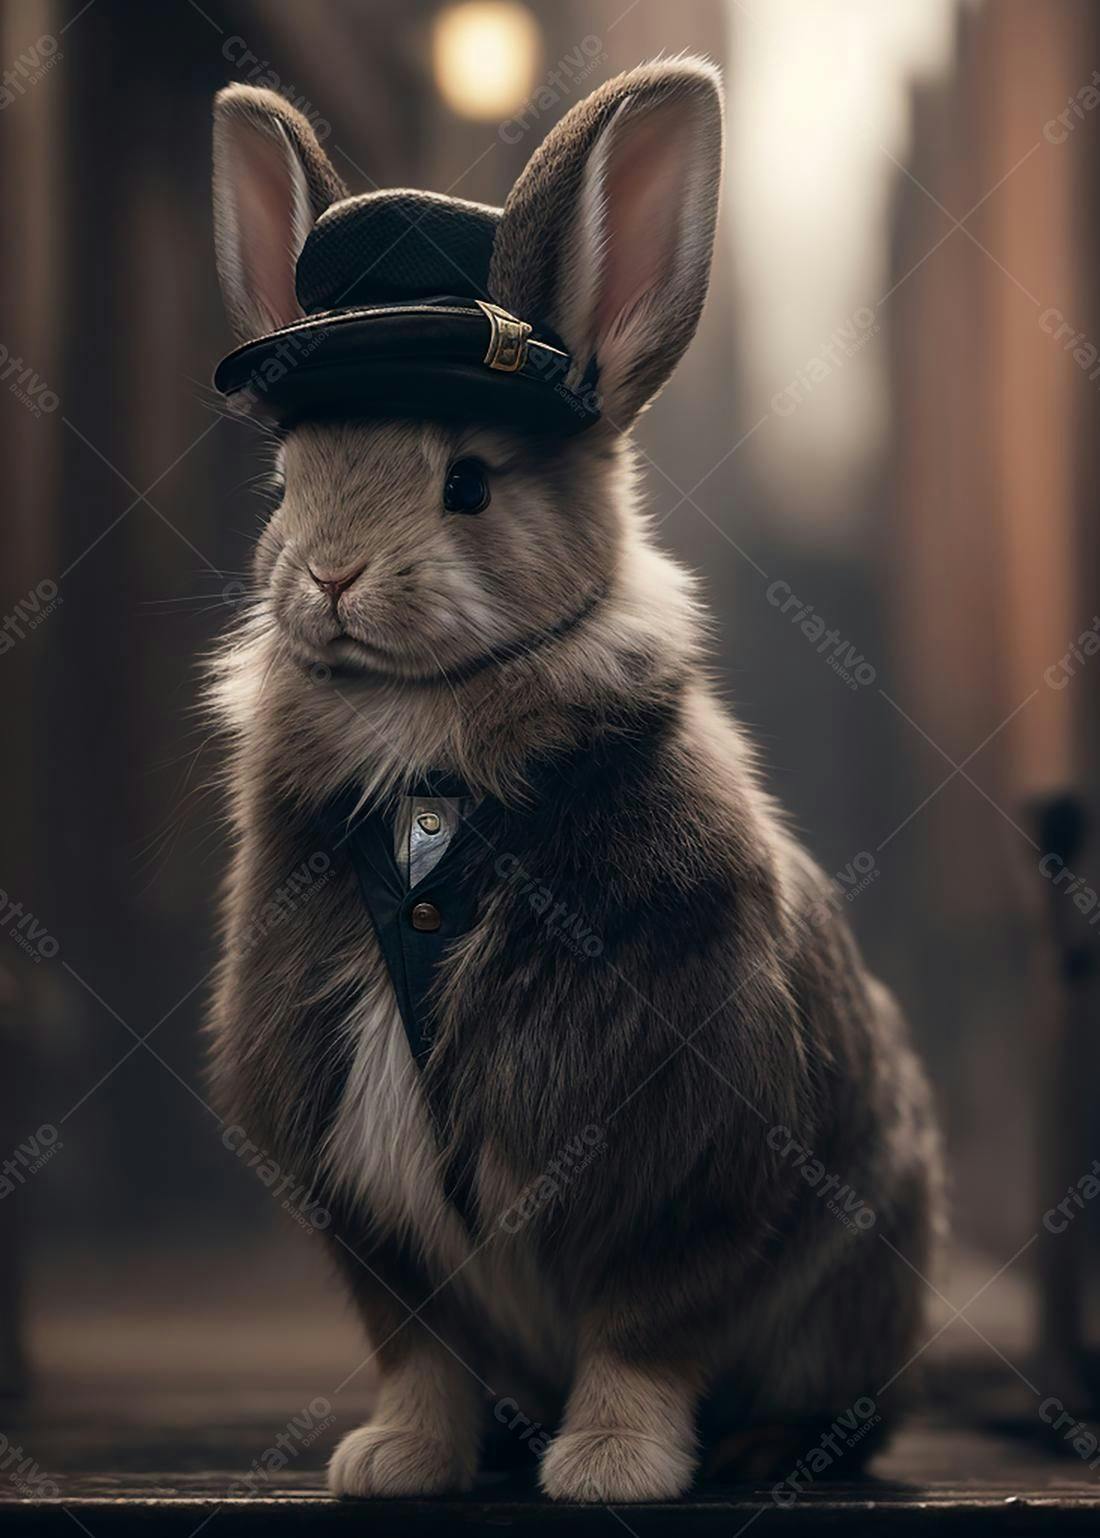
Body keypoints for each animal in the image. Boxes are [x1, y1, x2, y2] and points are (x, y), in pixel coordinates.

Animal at [206, 60, 942, 1504]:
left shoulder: (684, 1166)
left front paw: (606, 1467)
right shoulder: (372, 1211)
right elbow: (418, 1347)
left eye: (468, 483)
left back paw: (761, 1448)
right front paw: (395, 1460)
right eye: (283, 479)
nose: (329, 576)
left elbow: (643, 1332)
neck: (430, 777)